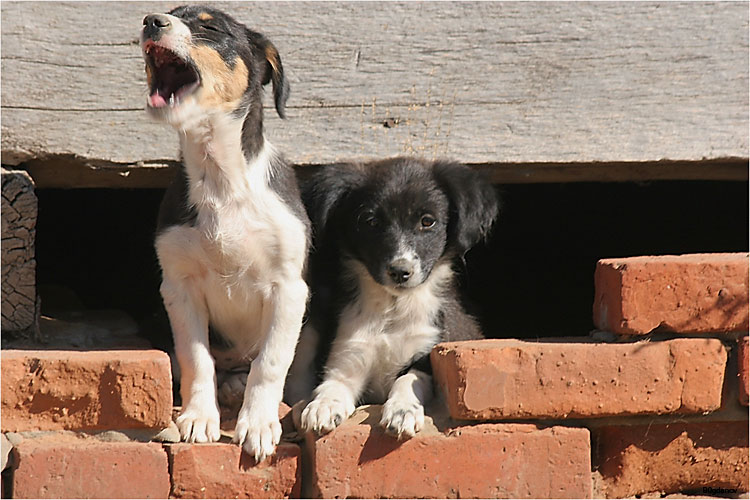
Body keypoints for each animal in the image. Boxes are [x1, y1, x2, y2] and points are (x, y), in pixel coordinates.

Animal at [141, 5, 308, 462]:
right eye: (167, 13)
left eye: (210, 27)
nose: (150, 20)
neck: (222, 179)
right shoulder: (178, 286)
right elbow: (196, 359)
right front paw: (200, 418)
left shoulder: (289, 287)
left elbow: (270, 363)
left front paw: (259, 424)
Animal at [288, 158, 500, 440]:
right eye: (369, 221)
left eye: (427, 221)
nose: (400, 271)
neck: (393, 310)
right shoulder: (348, 357)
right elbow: (332, 384)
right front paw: (322, 405)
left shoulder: (428, 352)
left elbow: (407, 379)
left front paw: (402, 411)